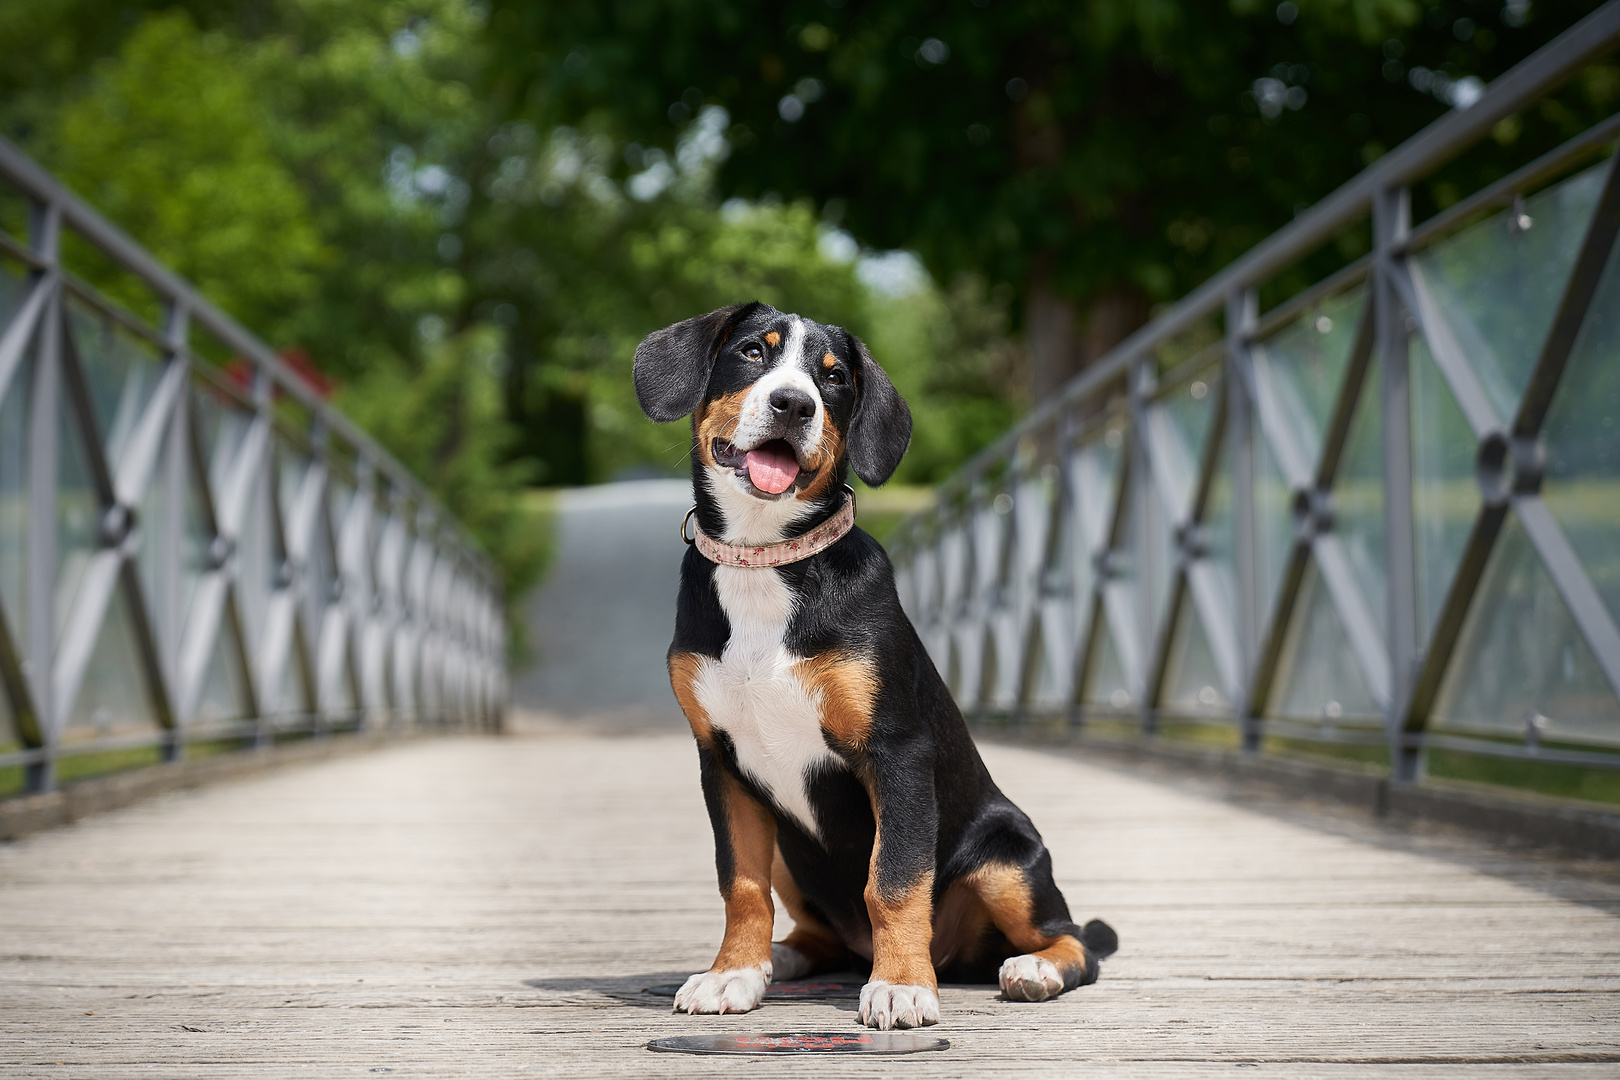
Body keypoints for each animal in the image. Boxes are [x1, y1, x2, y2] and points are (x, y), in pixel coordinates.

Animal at [631, 302, 1114, 1029]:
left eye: (833, 378)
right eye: (752, 352)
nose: (794, 404)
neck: (765, 562)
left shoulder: (897, 753)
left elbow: (893, 881)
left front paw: (902, 986)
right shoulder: (723, 764)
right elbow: (739, 883)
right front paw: (732, 974)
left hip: (1006, 855)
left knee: (1076, 939)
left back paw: (1031, 968)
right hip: (790, 848)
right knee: (817, 928)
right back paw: (783, 958)